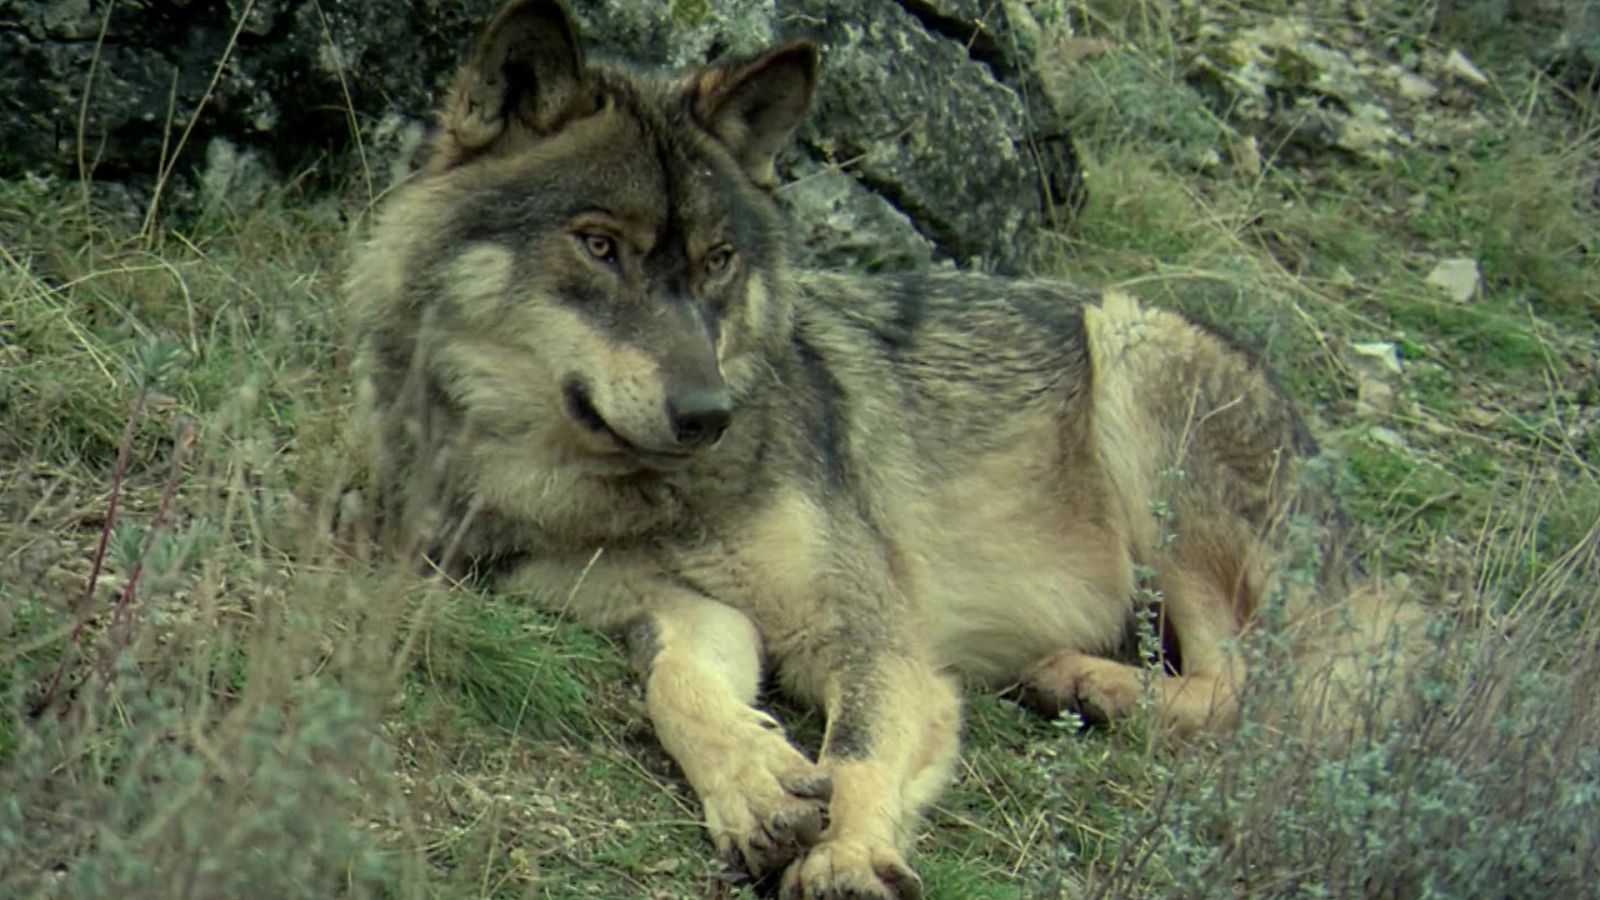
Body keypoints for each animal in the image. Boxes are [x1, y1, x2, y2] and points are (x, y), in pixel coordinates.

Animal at [345, 1, 1420, 896]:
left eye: (718, 262)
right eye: (599, 245)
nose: (707, 412)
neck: (621, 496)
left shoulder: (875, 639)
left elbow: (859, 749)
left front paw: (848, 857)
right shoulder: (673, 612)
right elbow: (674, 685)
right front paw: (759, 784)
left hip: (1138, 380)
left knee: (1256, 691)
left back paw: (1089, 684)